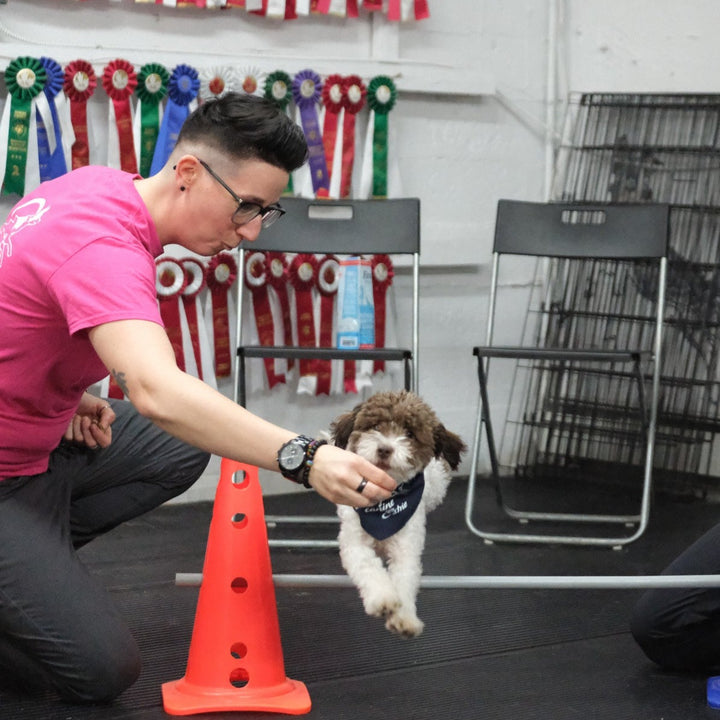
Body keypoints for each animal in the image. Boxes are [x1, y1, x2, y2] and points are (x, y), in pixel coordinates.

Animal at [332, 390, 466, 640]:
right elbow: (367, 565)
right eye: (375, 425)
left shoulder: (407, 546)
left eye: (410, 434)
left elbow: (404, 578)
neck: (385, 505)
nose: (384, 449)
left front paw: (405, 619)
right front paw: (382, 598)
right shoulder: (354, 542)